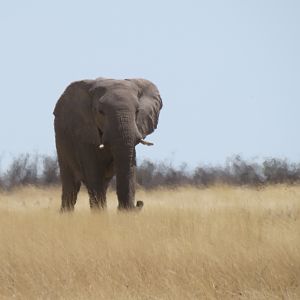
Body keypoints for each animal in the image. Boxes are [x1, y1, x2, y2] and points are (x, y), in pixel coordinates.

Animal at [52, 77, 163, 211]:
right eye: (101, 112)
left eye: (137, 111)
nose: (139, 203)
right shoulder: (84, 134)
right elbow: (93, 172)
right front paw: (101, 215)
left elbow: (131, 168)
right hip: (61, 140)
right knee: (71, 186)